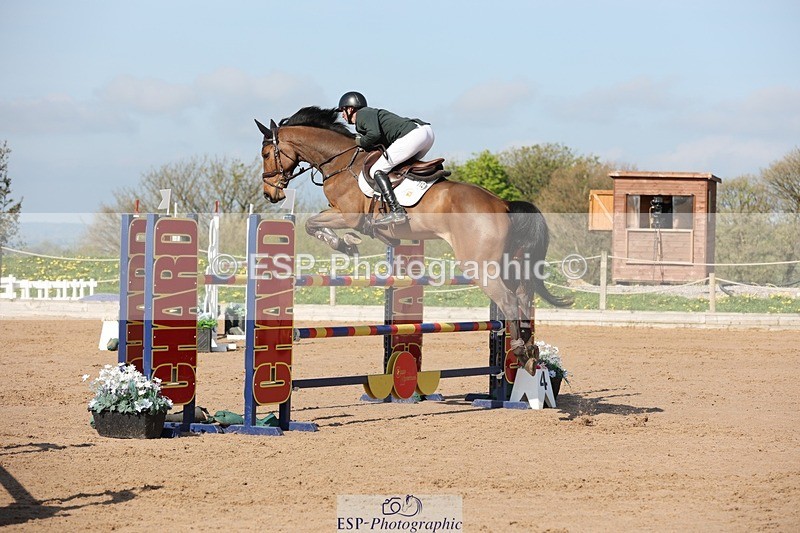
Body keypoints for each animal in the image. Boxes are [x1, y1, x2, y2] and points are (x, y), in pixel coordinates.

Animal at [255, 106, 570, 371]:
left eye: (266, 154)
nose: (271, 194)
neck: (341, 161)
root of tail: (502, 204)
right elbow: (315, 223)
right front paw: (346, 244)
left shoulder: (348, 216)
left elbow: (312, 224)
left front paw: (344, 244)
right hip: (509, 263)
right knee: (524, 297)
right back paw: (531, 350)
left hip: (481, 266)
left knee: (509, 300)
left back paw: (519, 350)